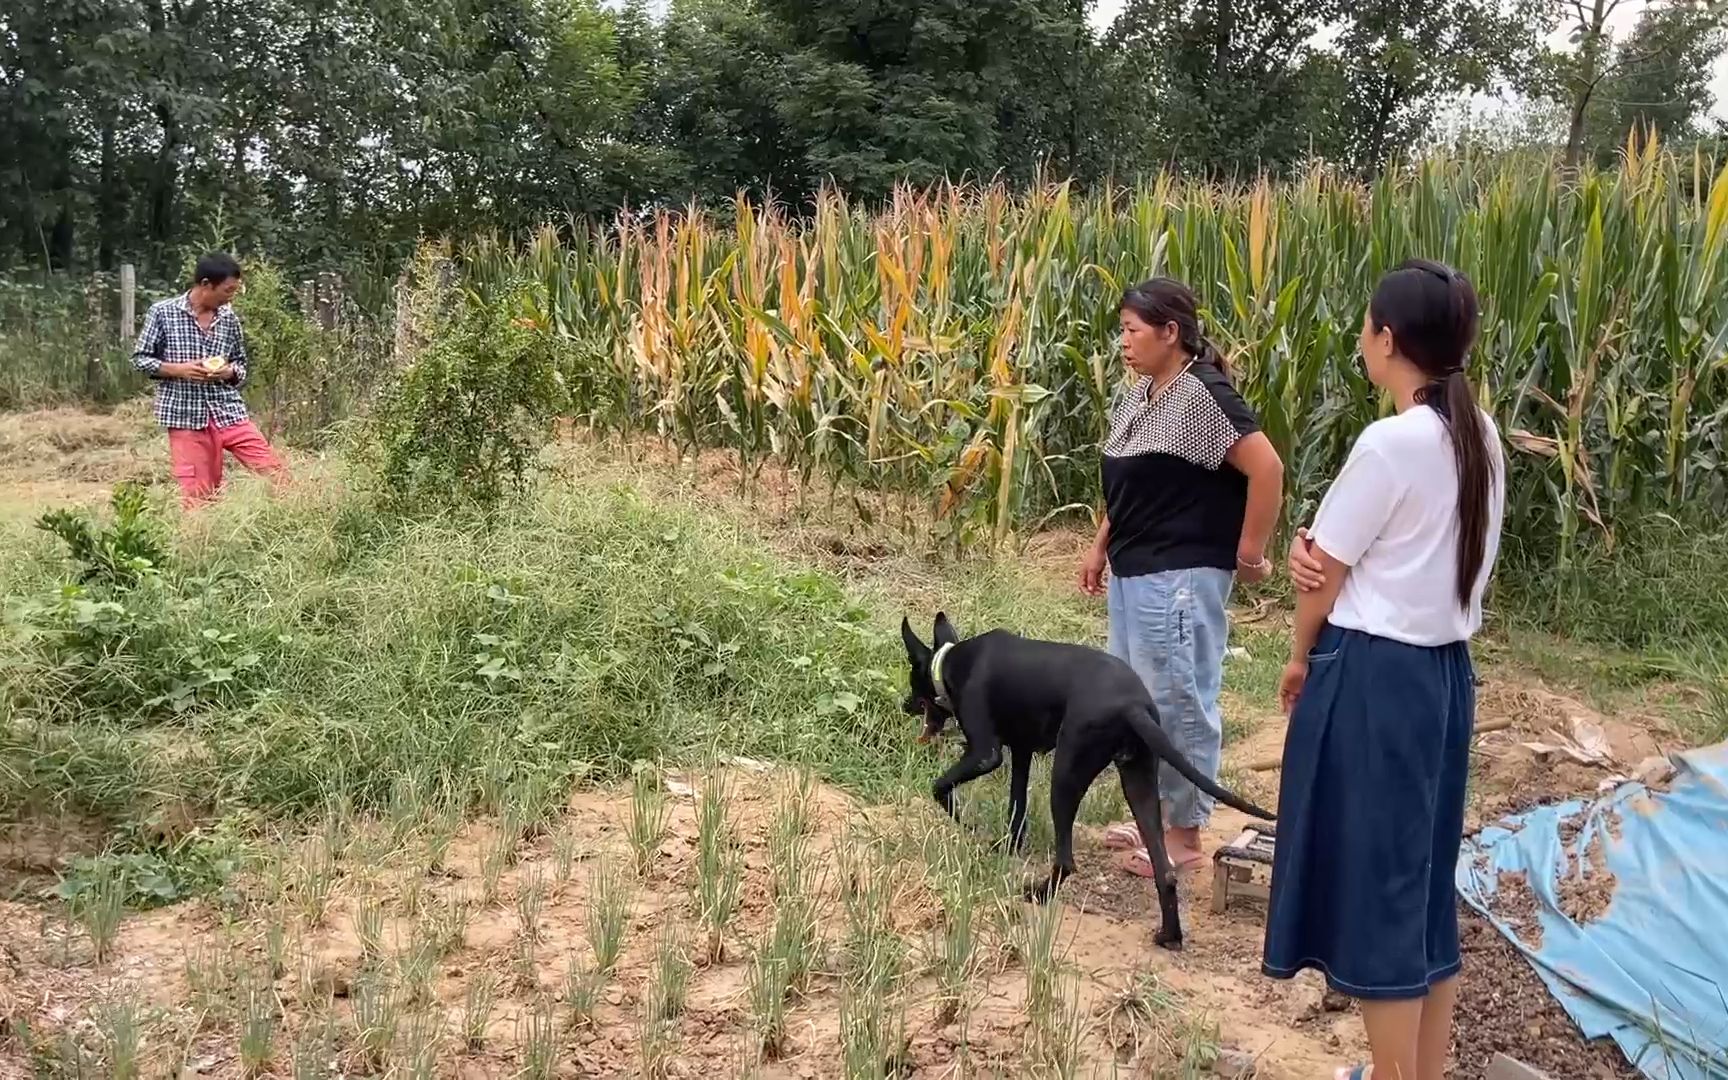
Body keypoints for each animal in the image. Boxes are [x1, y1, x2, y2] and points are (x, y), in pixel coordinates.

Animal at [905, 611, 1271, 946]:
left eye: (911, 679)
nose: (905, 704)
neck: (950, 662)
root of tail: (1132, 705)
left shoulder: (985, 753)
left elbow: (940, 787)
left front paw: (965, 822)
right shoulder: (1022, 752)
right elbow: (1016, 807)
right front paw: (1006, 845)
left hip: (1065, 776)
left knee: (1067, 860)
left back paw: (1040, 894)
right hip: (1138, 782)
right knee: (1164, 871)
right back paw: (1169, 935)